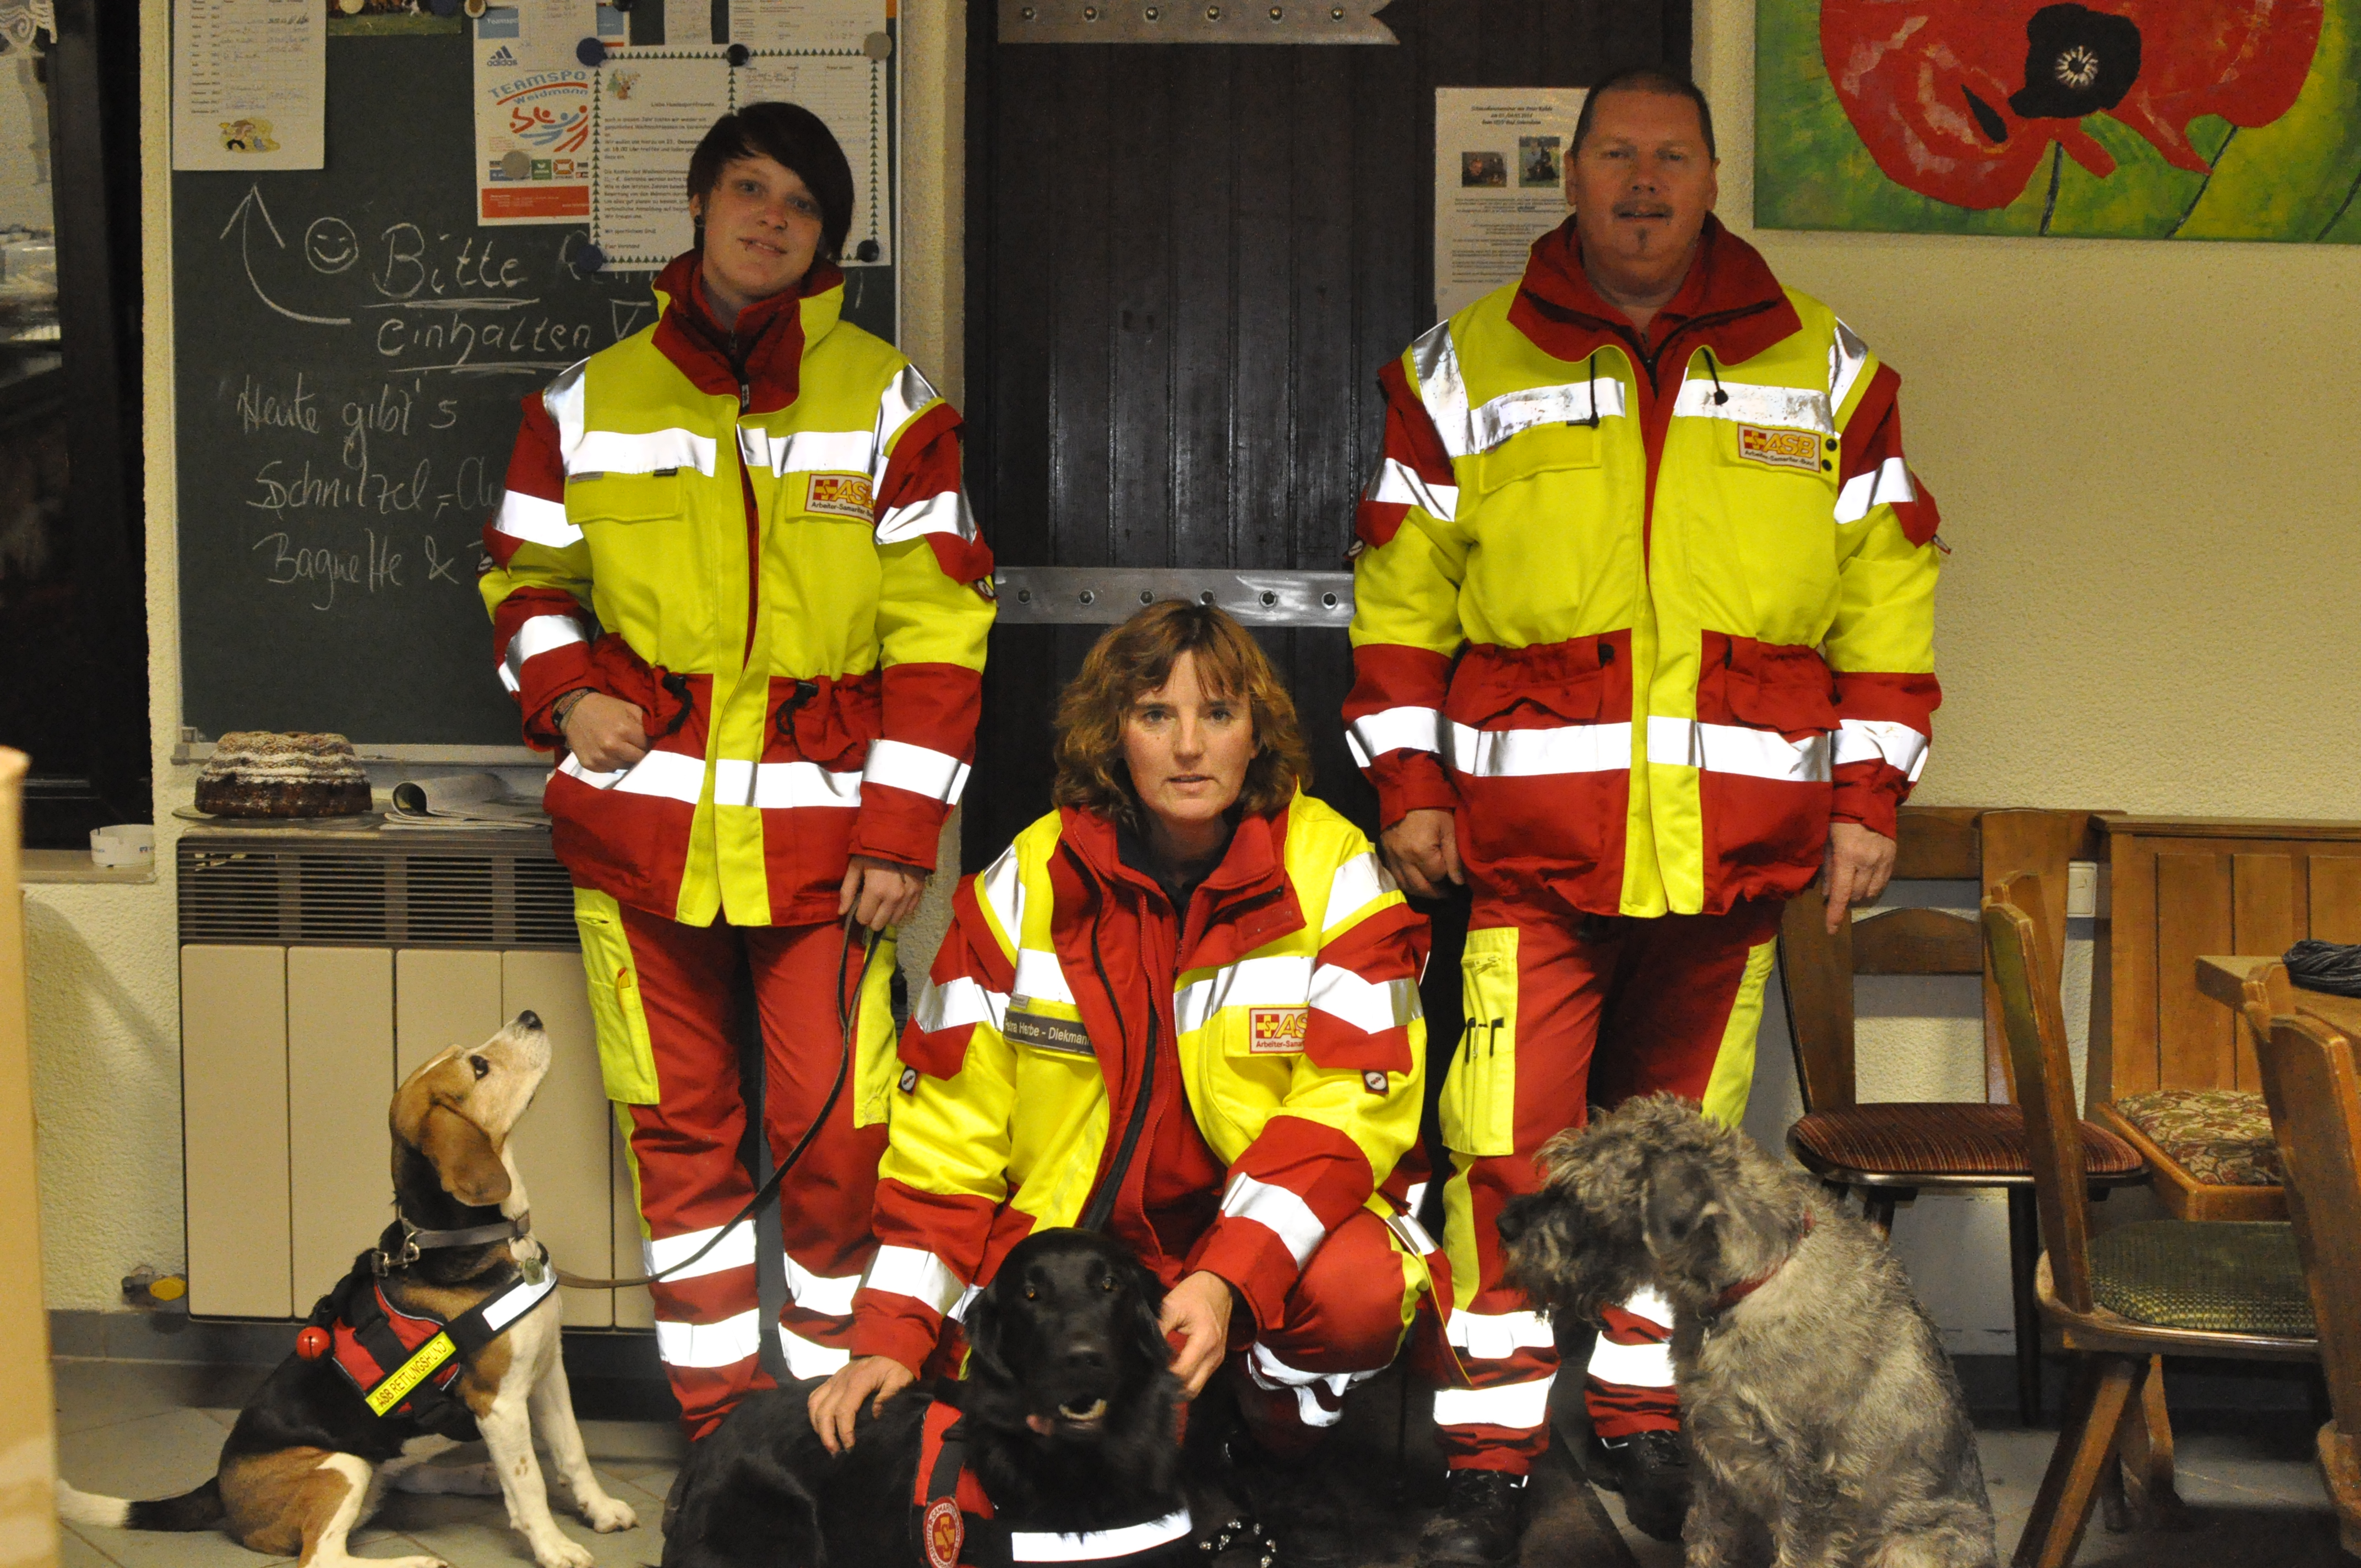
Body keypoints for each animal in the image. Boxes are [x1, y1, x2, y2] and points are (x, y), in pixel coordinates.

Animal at [58, 1010, 637, 1567]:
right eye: (479, 1067)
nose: (531, 1016)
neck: (471, 1236)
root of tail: (220, 1489)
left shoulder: (547, 1370)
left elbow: (572, 1451)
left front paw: (600, 1510)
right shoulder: (497, 1400)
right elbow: (531, 1483)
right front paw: (554, 1546)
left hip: (381, 1450)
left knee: (404, 1476)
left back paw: (474, 1477)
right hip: (341, 1465)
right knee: (322, 1555)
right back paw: (417, 1560)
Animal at [1492, 1096, 1993, 1558]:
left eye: (1581, 1199)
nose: (1503, 1224)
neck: (1744, 1290)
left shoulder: (1809, 1495)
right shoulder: (1712, 1466)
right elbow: (1704, 1540)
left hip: (1908, 1545)